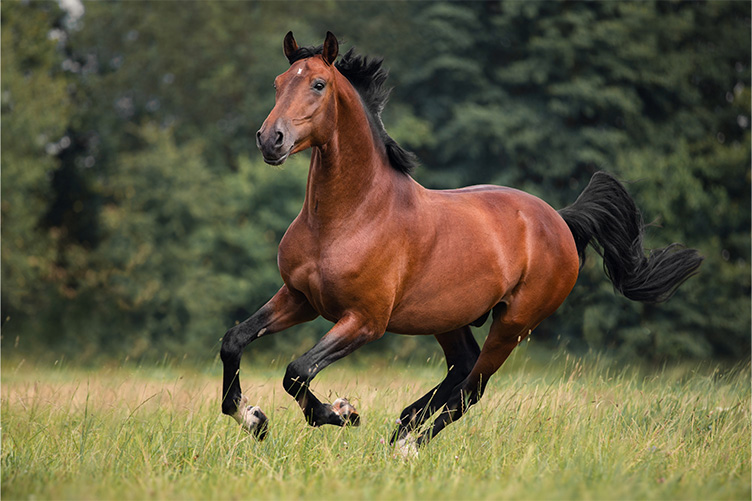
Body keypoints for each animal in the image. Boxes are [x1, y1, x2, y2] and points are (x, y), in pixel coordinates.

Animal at [220, 31, 703, 450]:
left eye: (318, 84)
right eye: (278, 83)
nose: (271, 139)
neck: (349, 217)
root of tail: (561, 221)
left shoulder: (365, 320)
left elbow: (298, 370)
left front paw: (341, 412)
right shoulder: (300, 298)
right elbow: (235, 341)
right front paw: (253, 418)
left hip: (512, 325)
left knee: (472, 388)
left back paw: (407, 445)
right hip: (448, 318)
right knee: (461, 369)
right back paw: (403, 425)